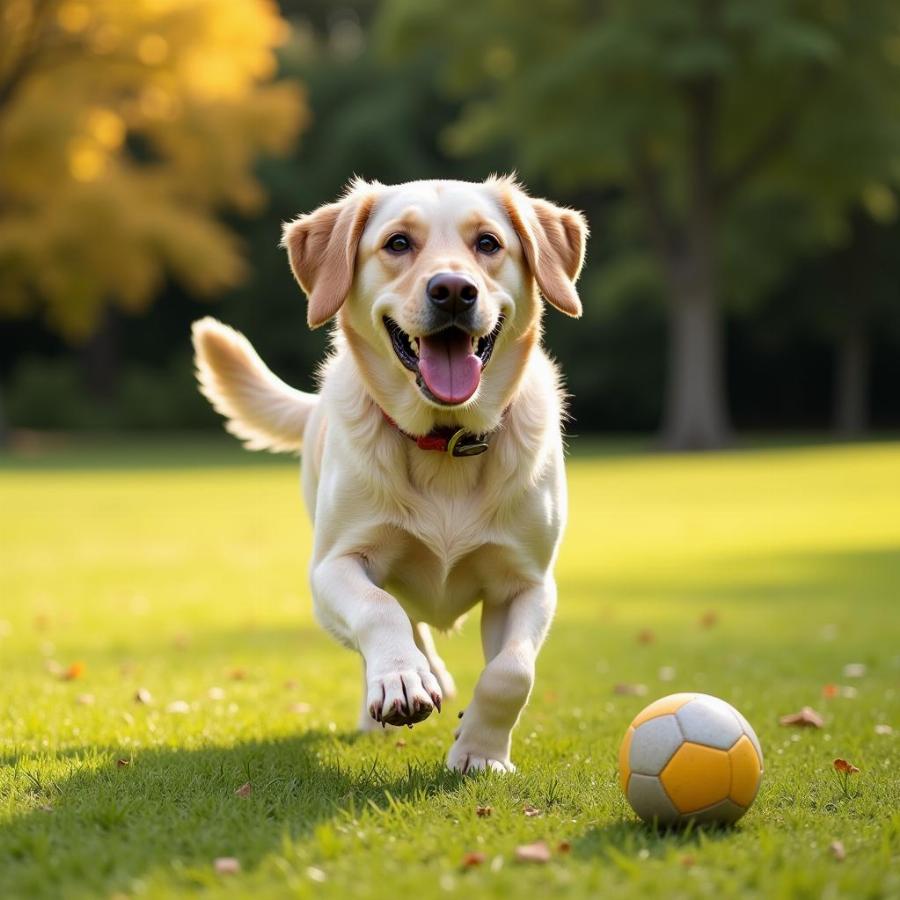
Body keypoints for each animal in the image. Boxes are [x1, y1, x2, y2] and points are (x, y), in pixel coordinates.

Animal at [191, 176, 588, 772]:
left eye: (488, 243)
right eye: (398, 243)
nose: (453, 290)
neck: (444, 441)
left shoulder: (529, 582)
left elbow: (512, 671)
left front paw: (481, 752)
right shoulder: (332, 568)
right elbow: (380, 611)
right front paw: (402, 680)